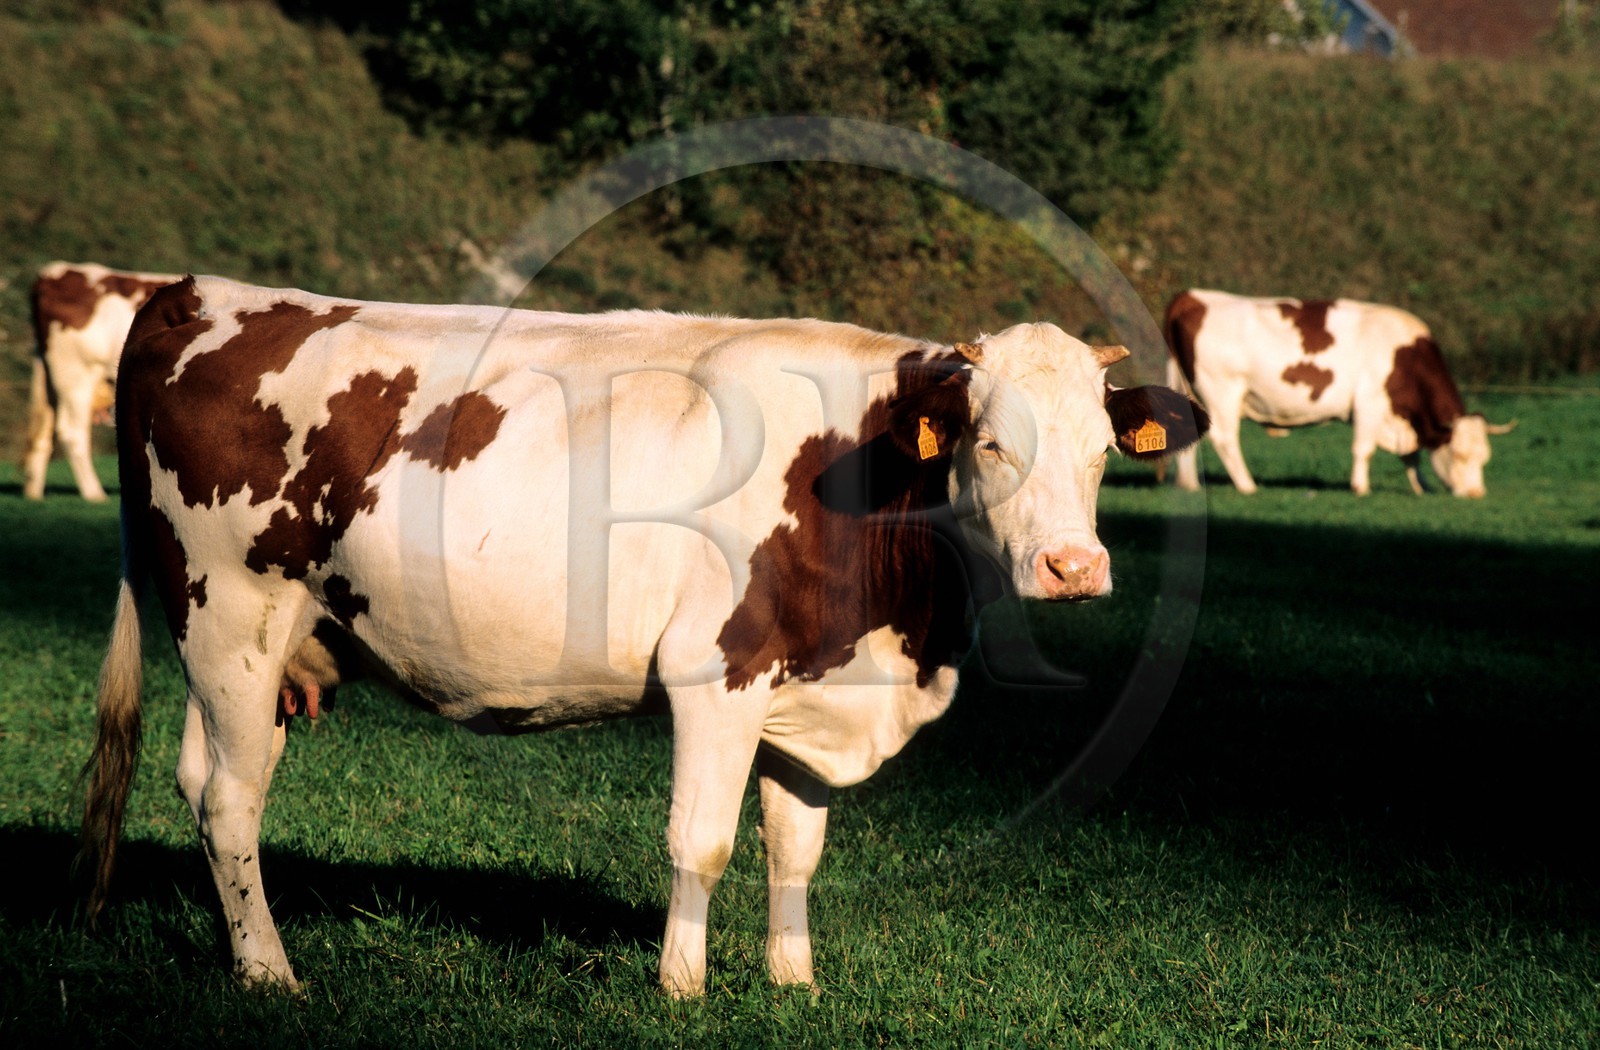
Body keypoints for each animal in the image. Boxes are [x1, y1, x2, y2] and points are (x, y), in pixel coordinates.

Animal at [23, 261, 181, 501]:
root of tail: (57, 271)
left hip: (51, 378)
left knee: (43, 429)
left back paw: (34, 495)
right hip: (75, 375)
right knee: (73, 432)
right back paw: (95, 494)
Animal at [78, 275, 1207, 997]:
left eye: (1103, 450)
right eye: (991, 443)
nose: (1073, 567)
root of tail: (197, 292)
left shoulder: (816, 685)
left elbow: (795, 849)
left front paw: (793, 984)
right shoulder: (718, 672)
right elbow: (701, 840)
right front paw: (682, 987)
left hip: (251, 644)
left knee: (210, 780)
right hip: (229, 609)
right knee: (230, 799)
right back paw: (272, 974)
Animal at [1163, 289, 1513, 497]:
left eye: (1484, 457)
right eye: (1459, 455)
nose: (1475, 495)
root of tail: (1192, 296)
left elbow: (1410, 455)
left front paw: (1421, 486)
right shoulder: (1369, 403)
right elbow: (1364, 449)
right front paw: (1361, 487)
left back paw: (1189, 485)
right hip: (1222, 390)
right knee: (1224, 437)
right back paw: (1247, 486)